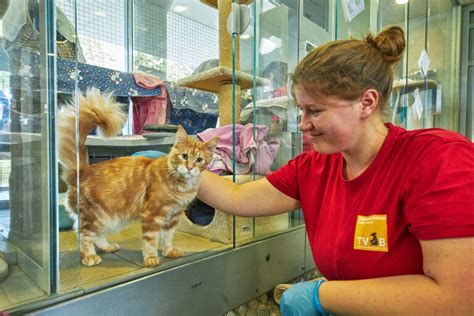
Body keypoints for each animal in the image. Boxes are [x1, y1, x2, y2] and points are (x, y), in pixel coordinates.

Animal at [57, 88, 218, 266]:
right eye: (184, 156)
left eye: (199, 160)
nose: (189, 168)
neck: (182, 184)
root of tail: (82, 171)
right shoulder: (151, 215)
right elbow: (151, 241)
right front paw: (151, 258)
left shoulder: (173, 217)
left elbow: (168, 237)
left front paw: (169, 251)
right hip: (96, 216)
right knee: (83, 234)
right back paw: (89, 256)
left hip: (109, 219)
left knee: (94, 235)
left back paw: (107, 247)